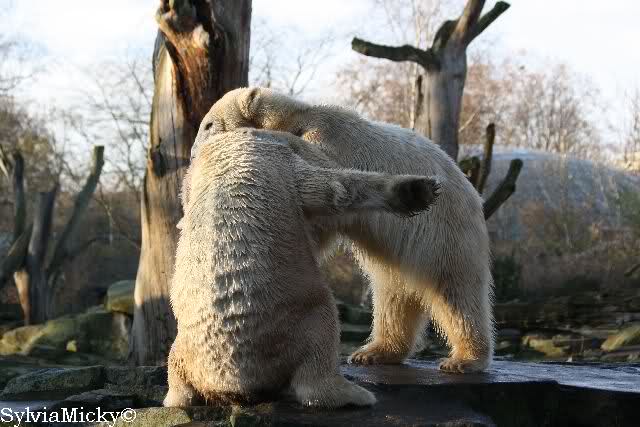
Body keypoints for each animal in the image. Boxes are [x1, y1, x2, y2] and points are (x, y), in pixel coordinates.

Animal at [164, 128, 442, 408]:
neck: (233, 147)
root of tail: (231, 382)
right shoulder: (283, 163)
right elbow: (336, 189)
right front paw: (416, 191)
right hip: (291, 323)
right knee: (322, 335)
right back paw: (355, 393)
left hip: (184, 348)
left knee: (176, 369)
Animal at [194, 87, 495, 373]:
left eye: (208, 124)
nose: (193, 153)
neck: (297, 117)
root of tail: (473, 194)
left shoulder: (327, 135)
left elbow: (326, 175)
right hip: (401, 254)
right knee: (392, 296)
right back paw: (373, 352)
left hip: (445, 233)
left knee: (456, 293)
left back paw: (464, 359)